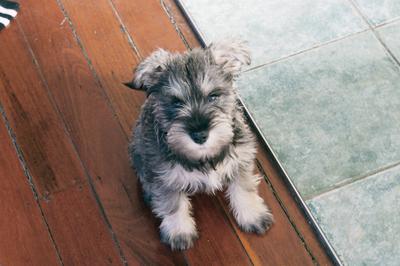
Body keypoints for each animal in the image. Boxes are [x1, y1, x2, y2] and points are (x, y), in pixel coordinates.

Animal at [126, 40, 276, 250]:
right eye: (176, 102)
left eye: (213, 96)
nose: (200, 135)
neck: (204, 156)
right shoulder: (164, 177)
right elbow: (172, 204)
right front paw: (179, 231)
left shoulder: (241, 160)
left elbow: (244, 187)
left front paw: (253, 215)